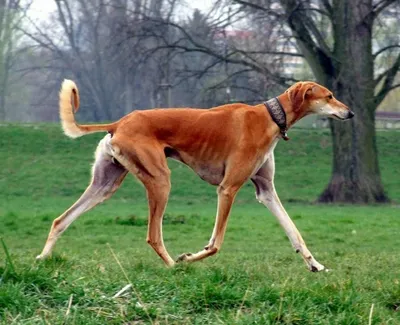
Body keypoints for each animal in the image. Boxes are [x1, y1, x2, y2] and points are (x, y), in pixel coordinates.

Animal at [36, 79, 354, 270]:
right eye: (329, 95)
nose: (350, 113)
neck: (269, 117)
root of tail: (119, 123)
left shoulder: (266, 191)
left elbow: (294, 232)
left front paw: (315, 264)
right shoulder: (227, 189)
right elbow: (215, 244)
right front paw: (189, 257)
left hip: (105, 185)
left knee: (60, 220)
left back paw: (42, 257)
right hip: (160, 181)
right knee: (153, 236)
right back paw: (174, 266)